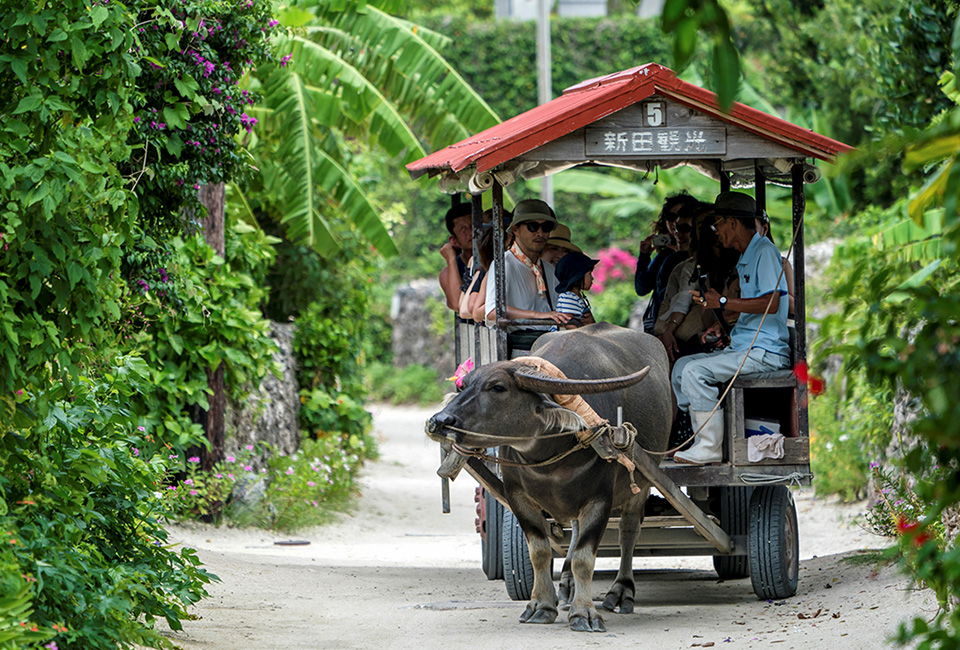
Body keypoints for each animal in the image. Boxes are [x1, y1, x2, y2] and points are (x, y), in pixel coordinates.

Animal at [424, 322, 672, 632]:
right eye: (462, 385)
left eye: (498, 387)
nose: (439, 421)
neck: (551, 458)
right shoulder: (518, 496)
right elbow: (540, 551)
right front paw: (541, 606)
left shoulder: (600, 498)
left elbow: (584, 557)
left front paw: (584, 613)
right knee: (575, 530)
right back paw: (567, 583)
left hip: (641, 484)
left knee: (628, 531)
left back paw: (621, 591)